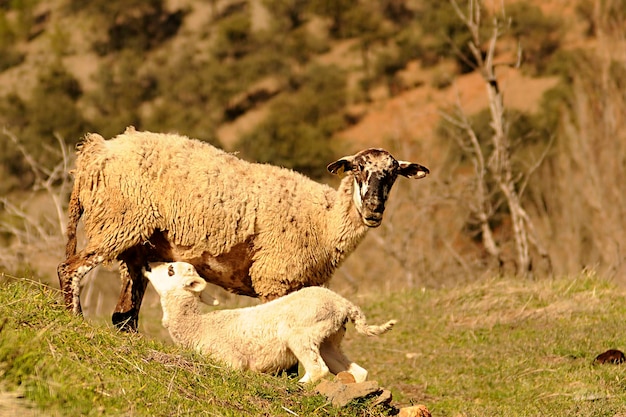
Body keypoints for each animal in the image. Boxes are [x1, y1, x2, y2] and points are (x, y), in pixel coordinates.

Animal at [57, 125, 428, 330]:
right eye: (358, 169)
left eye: (393, 174)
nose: (374, 209)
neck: (324, 221)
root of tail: (96, 150)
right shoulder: (274, 276)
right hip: (120, 221)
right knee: (69, 269)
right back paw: (73, 319)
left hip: (137, 244)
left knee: (124, 314)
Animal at [143, 262, 392, 382]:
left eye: (171, 270)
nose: (147, 265)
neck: (197, 326)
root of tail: (343, 303)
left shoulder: (229, 360)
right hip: (329, 340)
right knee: (358, 372)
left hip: (302, 333)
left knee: (317, 369)